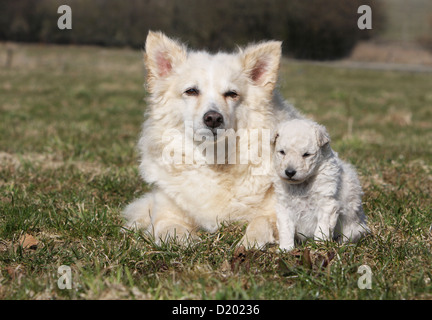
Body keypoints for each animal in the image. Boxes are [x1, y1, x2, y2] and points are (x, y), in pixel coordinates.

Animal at [120, 31, 300, 248]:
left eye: (232, 94)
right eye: (191, 91)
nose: (213, 118)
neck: (214, 159)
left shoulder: (280, 212)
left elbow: (261, 222)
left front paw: (248, 244)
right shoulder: (167, 213)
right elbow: (170, 229)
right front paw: (186, 241)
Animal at [272, 118, 370, 250]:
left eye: (306, 154)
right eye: (282, 152)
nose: (289, 172)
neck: (303, 184)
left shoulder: (327, 204)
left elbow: (322, 229)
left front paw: (320, 246)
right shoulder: (284, 206)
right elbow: (286, 229)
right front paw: (285, 249)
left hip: (354, 229)